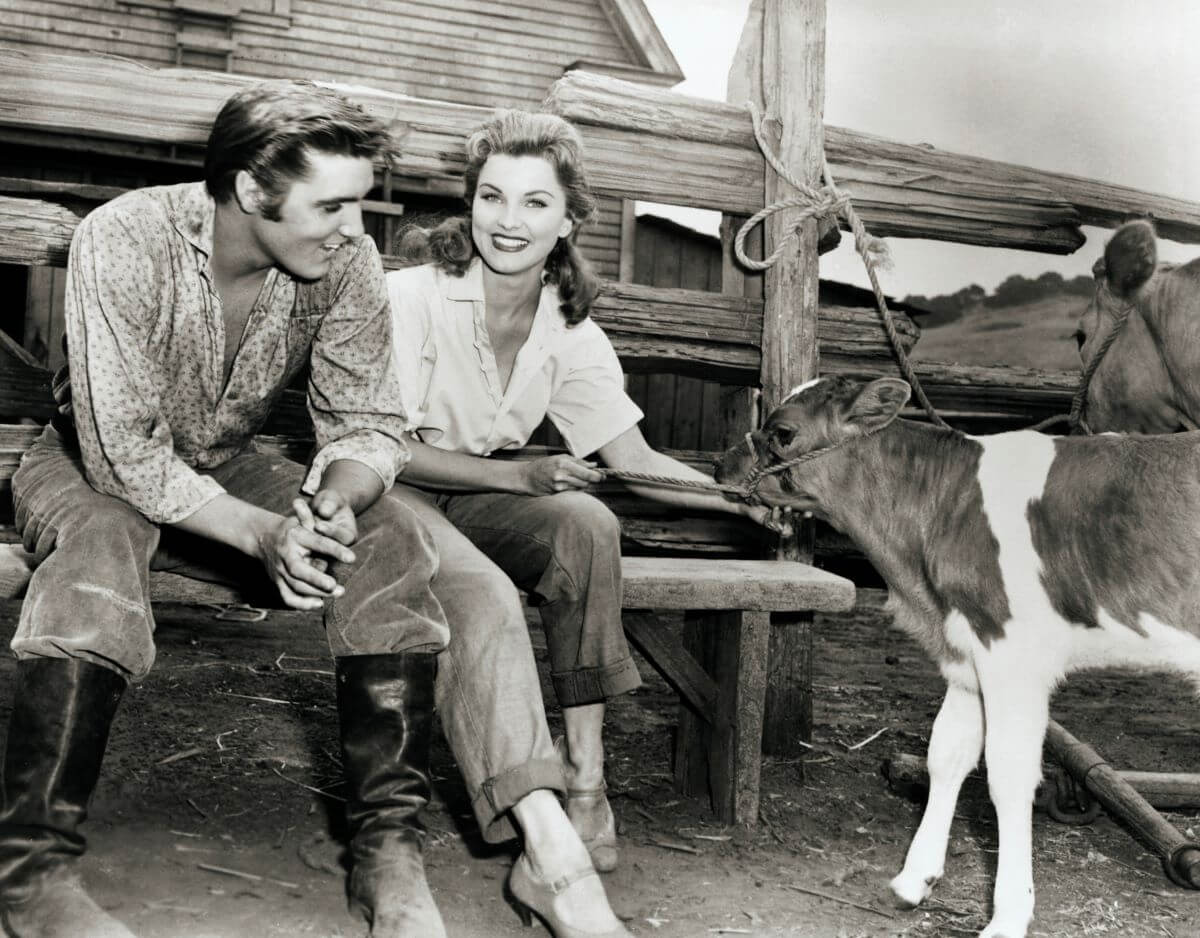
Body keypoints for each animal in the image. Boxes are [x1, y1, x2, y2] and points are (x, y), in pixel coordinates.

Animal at [715, 376, 1200, 938]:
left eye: (784, 432)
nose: (720, 464)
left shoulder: (1011, 655)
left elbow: (1007, 777)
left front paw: (1008, 916)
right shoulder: (967, 653)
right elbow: (946, 754)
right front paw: (914, 879)